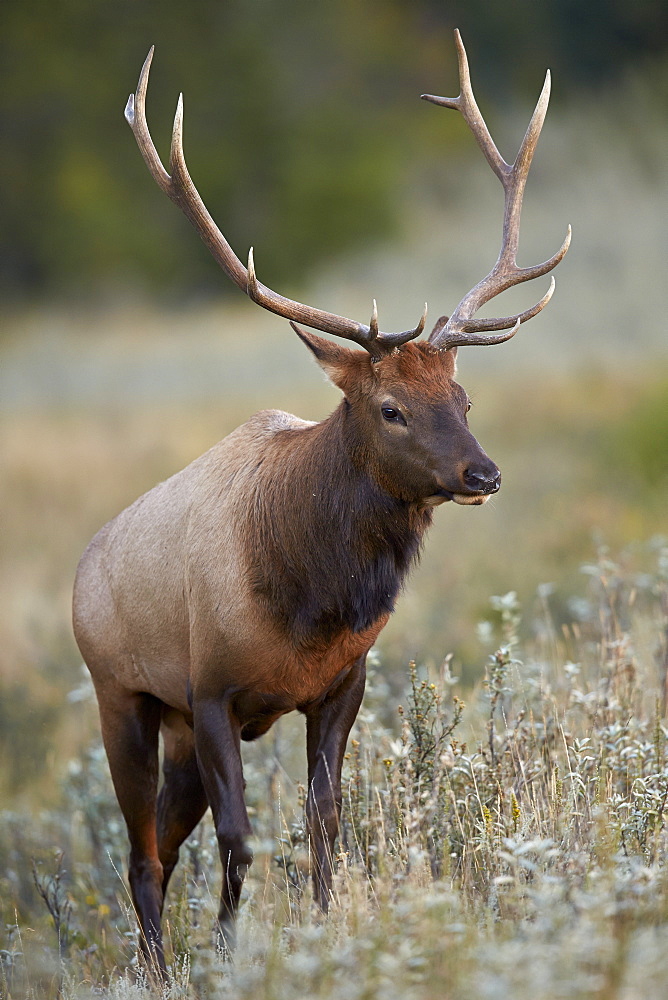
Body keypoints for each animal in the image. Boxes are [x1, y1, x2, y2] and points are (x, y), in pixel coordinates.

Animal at [73, 29, 568, 968]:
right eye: (391, 407)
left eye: (465, 398)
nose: (483, 476)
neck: (309, 601)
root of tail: (82, 568)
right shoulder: (210, 689)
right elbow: (241, 839)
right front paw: (230, 952)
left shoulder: (343, 683)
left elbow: (325, 825)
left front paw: (322, 931)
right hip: (124, 695)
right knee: (142, 854)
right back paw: (155, 967)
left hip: (176, 733)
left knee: (161, 844)